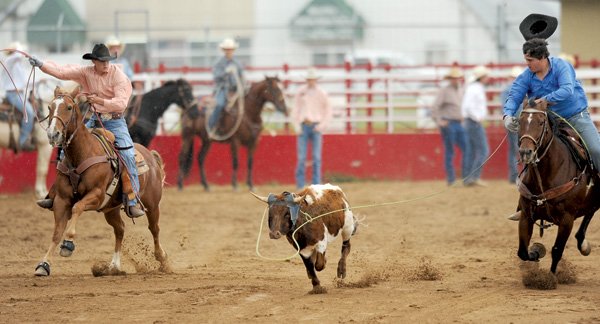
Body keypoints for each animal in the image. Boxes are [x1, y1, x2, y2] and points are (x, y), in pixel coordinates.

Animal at [34, 87, 168, 278]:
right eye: (49, 107)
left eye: (69, 107)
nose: (53, 134)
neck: (82, 153)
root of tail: (151, 156)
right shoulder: (61, 200)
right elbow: (56, 233)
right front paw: (43, 265)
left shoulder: (96, 195)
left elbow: (77, 208)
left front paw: (68, 244)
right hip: (111, 209)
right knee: (120, 229)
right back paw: (113, 266)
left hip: (152, 204)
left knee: (154, 228)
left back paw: (162, 260)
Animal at [516, 98, 600, 276]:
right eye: (519, 122)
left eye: (541, 122)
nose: (526, 152)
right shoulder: (526, 216)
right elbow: (523, 251)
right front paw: (537, 250)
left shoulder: (567, 220)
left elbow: (557, 250)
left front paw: (551, 277)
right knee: (590, 212)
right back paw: (583, 245)